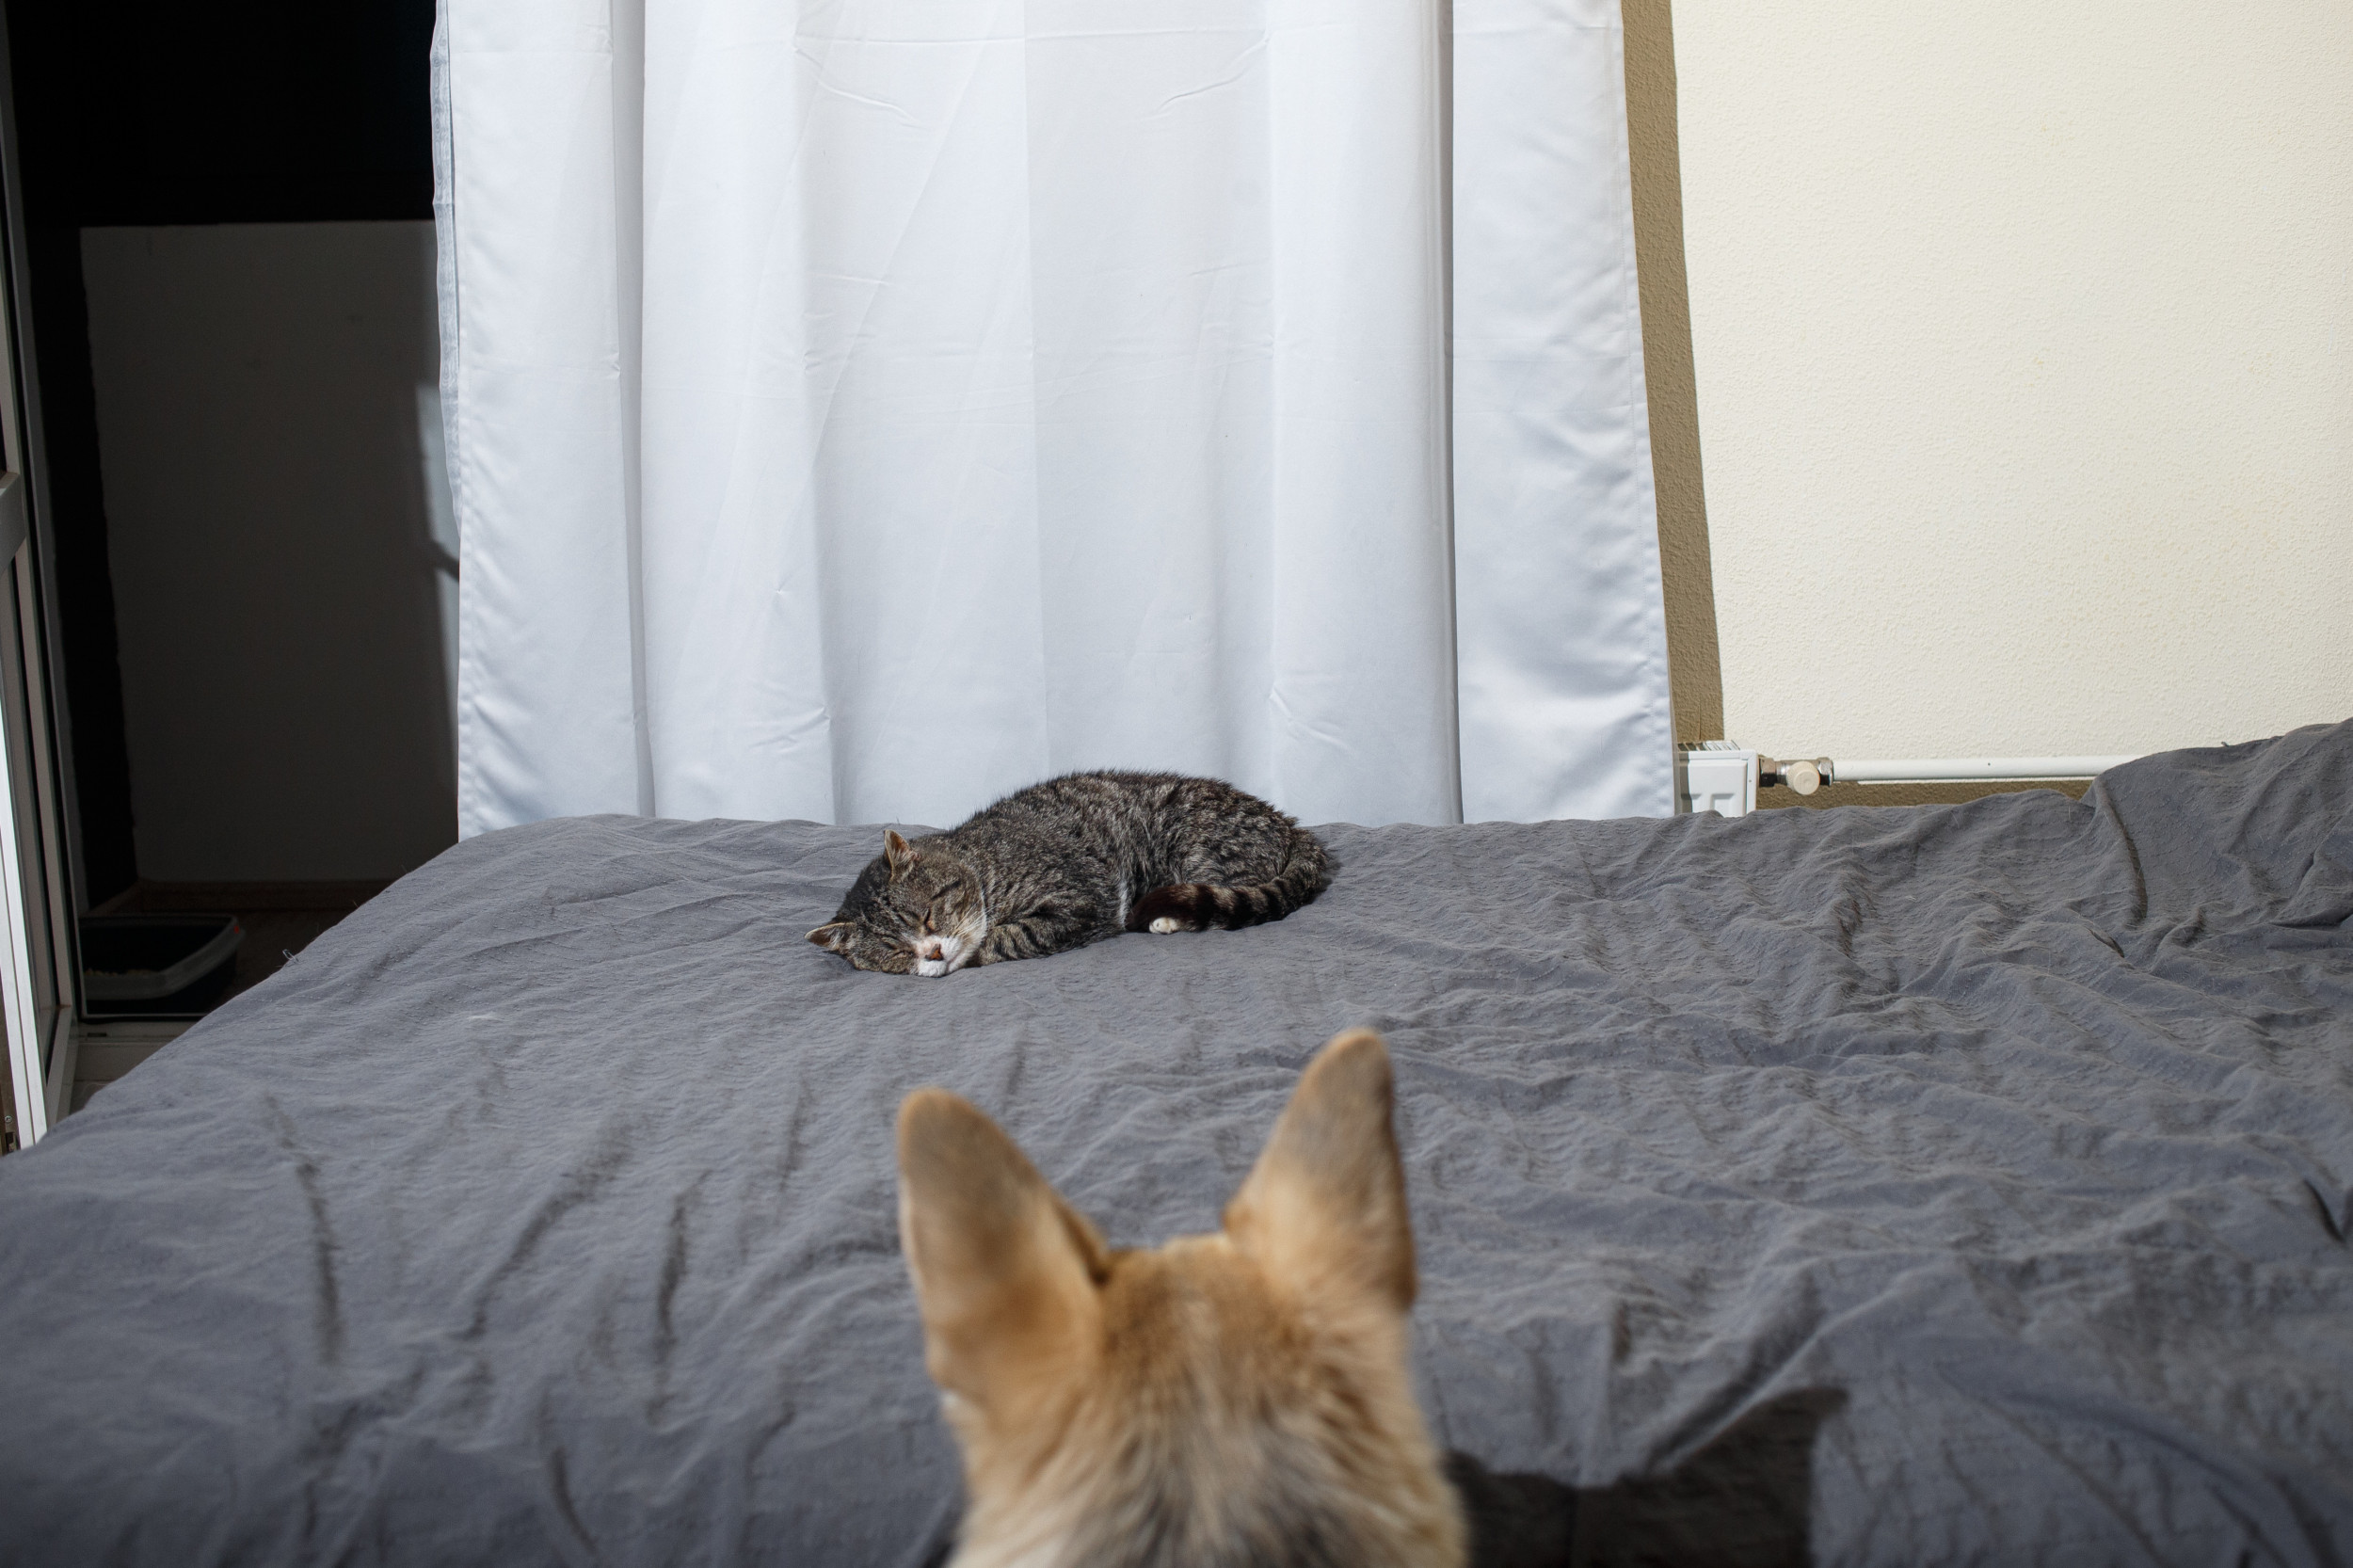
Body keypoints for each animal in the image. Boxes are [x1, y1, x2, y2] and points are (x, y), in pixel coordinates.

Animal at [805, 767, 1327, 969]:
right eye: (895, 952)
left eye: (927, 918)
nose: (931, 953)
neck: (981, 860)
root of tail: (1290, 825)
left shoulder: (1082, 898)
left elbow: (1008, 938)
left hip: (1197, 844)